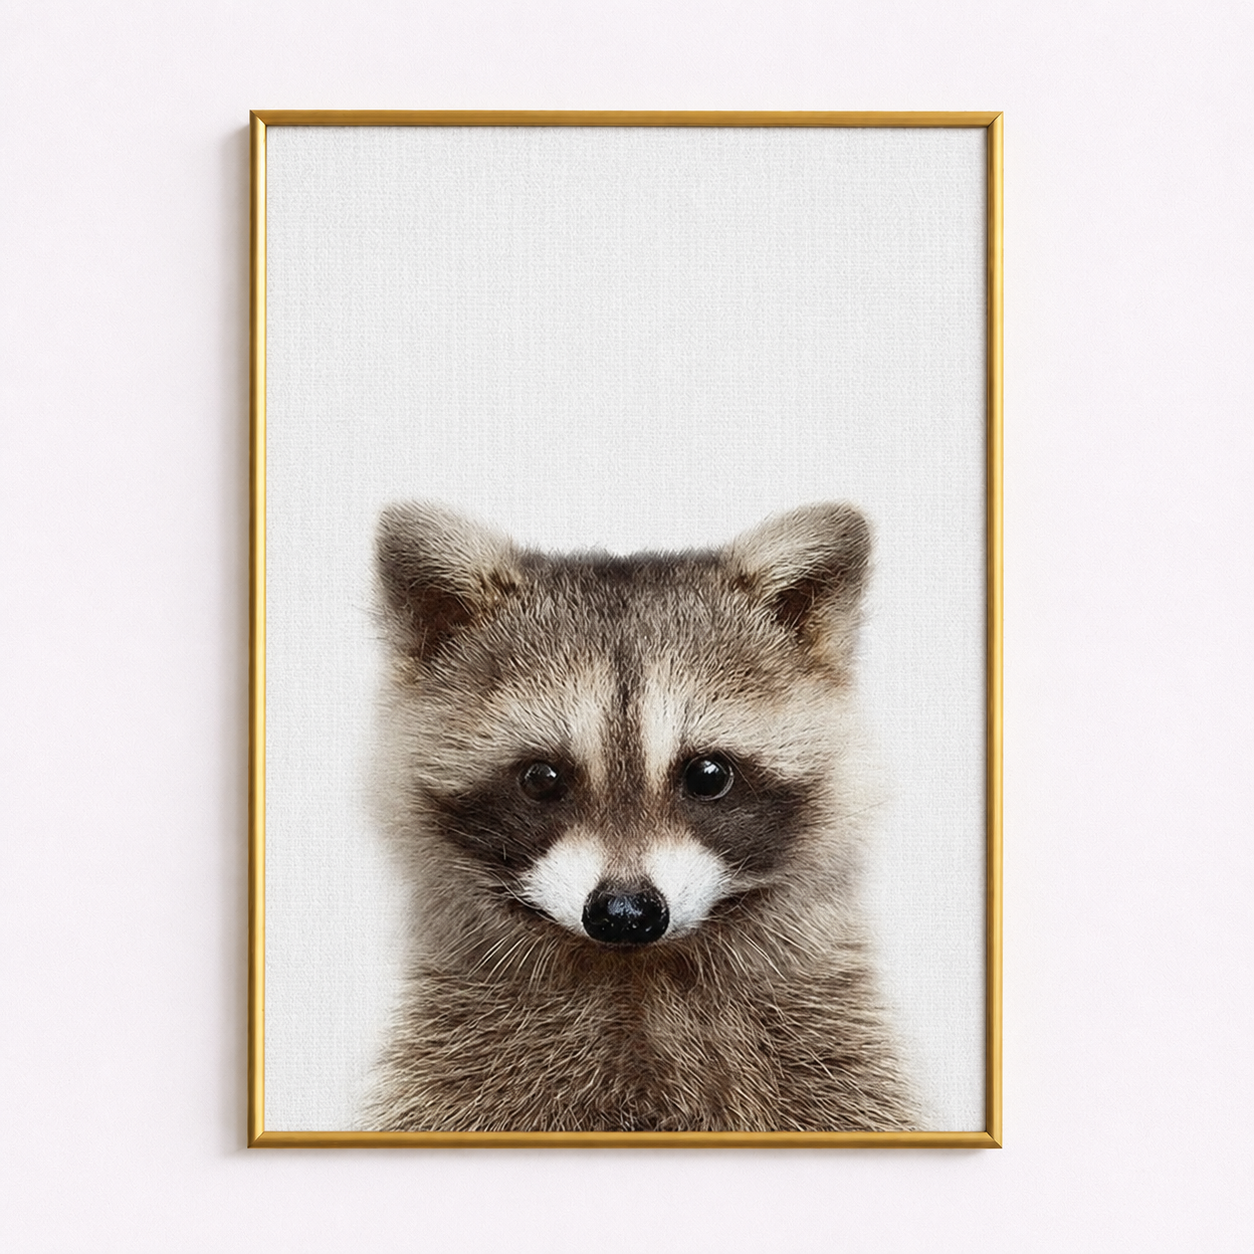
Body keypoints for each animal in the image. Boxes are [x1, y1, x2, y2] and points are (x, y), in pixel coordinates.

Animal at [365, 501, 915, 1133]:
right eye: (542, 778)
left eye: (708, 775)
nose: (625, 913)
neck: (637, 975)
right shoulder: (454, 1064)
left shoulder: (832, 1049)